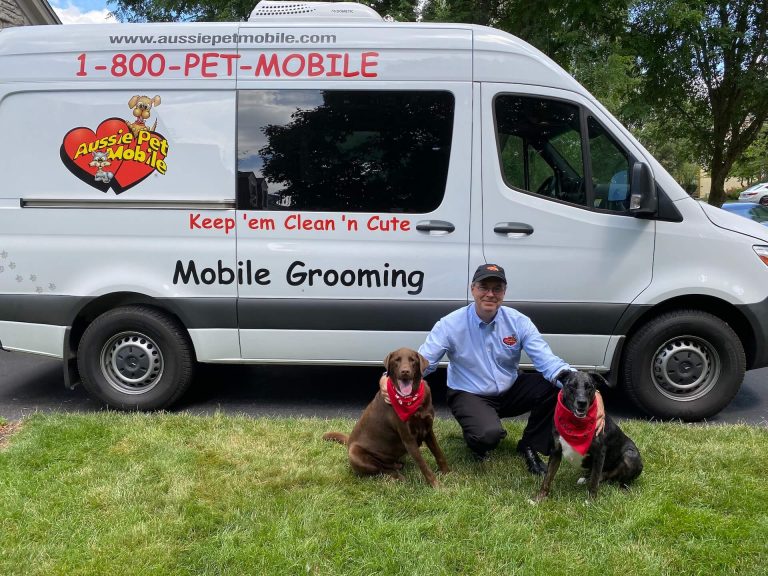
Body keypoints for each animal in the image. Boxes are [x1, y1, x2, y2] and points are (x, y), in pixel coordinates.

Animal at [320, 346, 450, 486]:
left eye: (412, 360)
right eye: (397, 360)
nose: (405, 371)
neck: (412, 400)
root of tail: (349, 442)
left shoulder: (428, 429)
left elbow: (438, 453)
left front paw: (447, 473)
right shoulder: (408, 438)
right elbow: (423, 465)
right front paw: (436, 485)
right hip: (355, 454)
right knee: (381, 469)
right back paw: (397, 477)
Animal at [536, 368, 640, 500]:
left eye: (590, 386)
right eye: (572, 385)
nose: (582, 402)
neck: (576, 423)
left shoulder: (599, 454)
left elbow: (594, 482)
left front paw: (591, 501)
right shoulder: (556, 451)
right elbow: (547, 478)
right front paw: (539, 498)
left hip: (630, 456)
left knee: (616, 479)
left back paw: (623, 489)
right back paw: (586, 478)